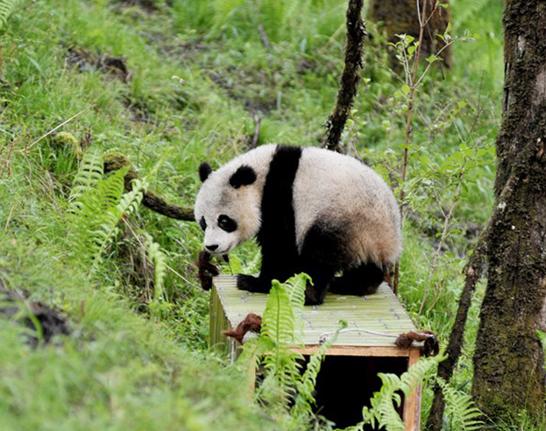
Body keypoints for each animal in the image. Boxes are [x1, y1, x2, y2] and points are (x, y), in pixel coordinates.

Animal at [193, 146, 398, 308]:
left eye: (224, 221)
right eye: (203, 223)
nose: (212, 246)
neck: (261, 177)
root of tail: (392, 237)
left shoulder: (281, 198)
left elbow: (279, 247)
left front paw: (256, 282)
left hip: (342, 217)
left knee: (320, 255)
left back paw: (311, 295)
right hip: (366, 236)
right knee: (367, 267)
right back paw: (353, 285)